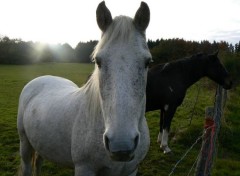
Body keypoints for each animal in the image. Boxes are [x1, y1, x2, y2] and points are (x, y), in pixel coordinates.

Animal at [17, 1, 152, 176]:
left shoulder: (131, 170)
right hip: (25, 143)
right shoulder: (84, 168)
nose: (121, 145)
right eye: (98, 61)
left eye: (148, 62)